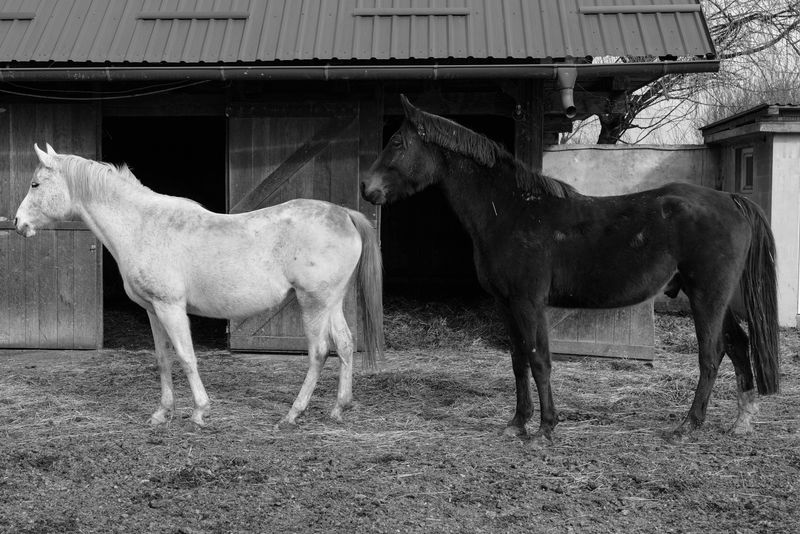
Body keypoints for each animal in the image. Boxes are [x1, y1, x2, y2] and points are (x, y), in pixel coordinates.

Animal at [15, 144, 384, 428]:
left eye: (35, 184)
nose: (18, 223)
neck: (143, 225)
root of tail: (344, 214)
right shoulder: (153, 310)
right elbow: (163, 359)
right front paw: (161, 414)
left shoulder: (171, 307)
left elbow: (186, 356)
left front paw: (199, 412)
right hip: (331, 303)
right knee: (345, 345)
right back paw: (338, 409)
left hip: (313, 303)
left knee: (319, 352)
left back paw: (292, 415)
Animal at [361, 95, 779, 442]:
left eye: (396, 142)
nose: (367, 188)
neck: (512, 211)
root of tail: (730, 199)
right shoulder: (507, 304)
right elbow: (518, 361)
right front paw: (518, 422)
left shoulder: (529, 302)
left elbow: (539, 360)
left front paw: (545, 428)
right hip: (713, 297)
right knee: (737, 346)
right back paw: (741, 421)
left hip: (707, 296)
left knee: (712, 354)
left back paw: (688, 426)